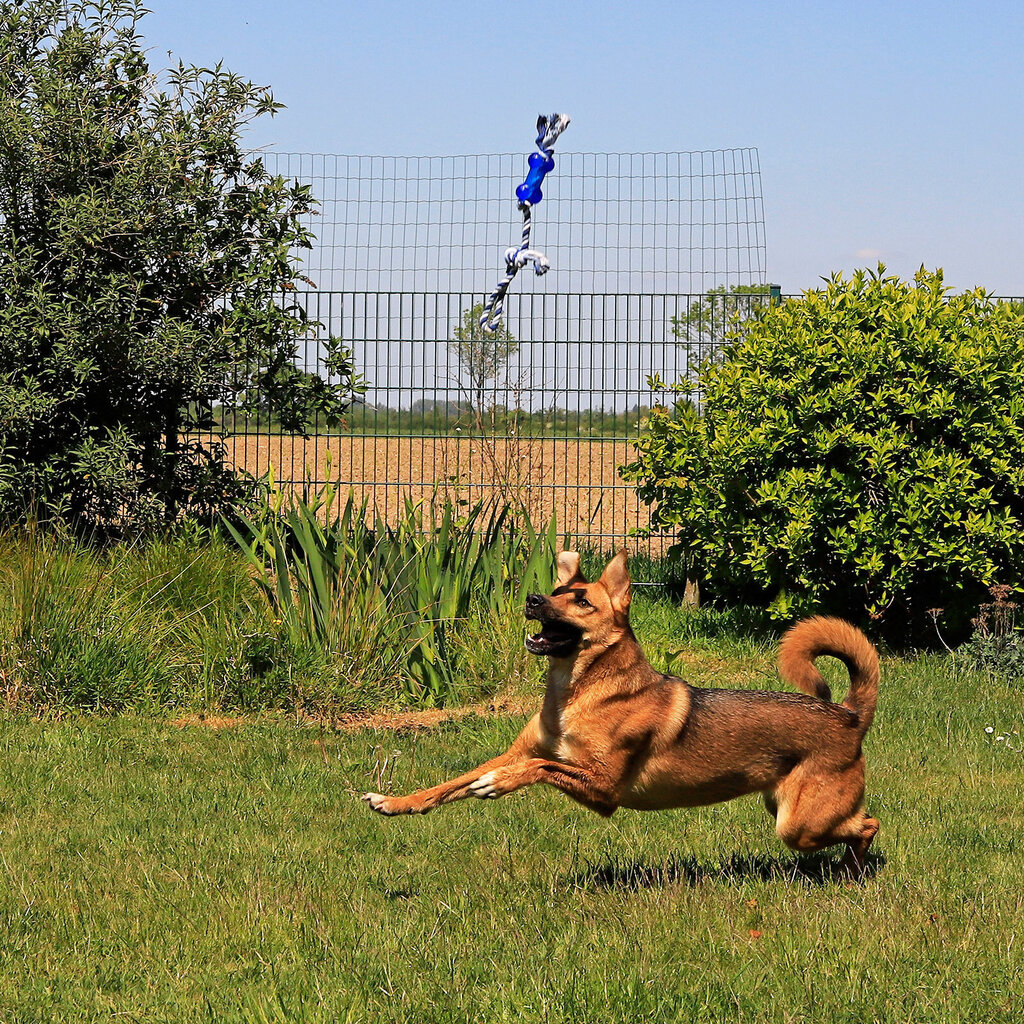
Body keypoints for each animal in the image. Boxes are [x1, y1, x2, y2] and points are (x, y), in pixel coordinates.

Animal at [362, 548, 880, 876]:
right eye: (556, 589)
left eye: (582, 600)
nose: (533, 599)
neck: (579, 693)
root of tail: (850, 716)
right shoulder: (519, 753)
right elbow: (451, 784)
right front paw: (396, 801)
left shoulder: (604, 788)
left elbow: (540, 767)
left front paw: (499, 785)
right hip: (786, 810)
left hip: (799, 824)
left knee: (868, 825)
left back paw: (855, 871)